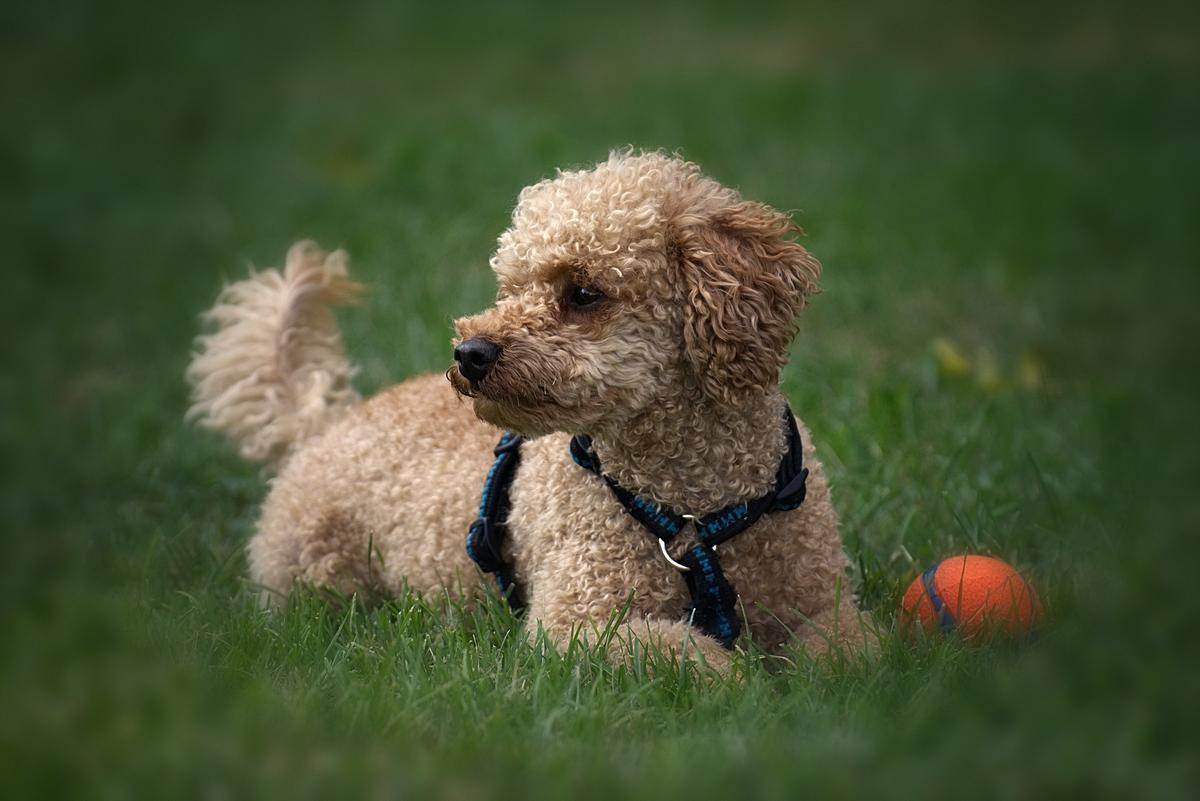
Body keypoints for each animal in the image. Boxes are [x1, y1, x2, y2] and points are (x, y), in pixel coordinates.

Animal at [184, 148, 864, 671]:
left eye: (583, 292)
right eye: (511, 288)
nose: (469, 352)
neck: (694, 510)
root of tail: (322, 424)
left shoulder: (818, 599)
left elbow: (849, 654)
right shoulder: (579, 623)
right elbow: (686, 655)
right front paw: (742, 682)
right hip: (313, 574)